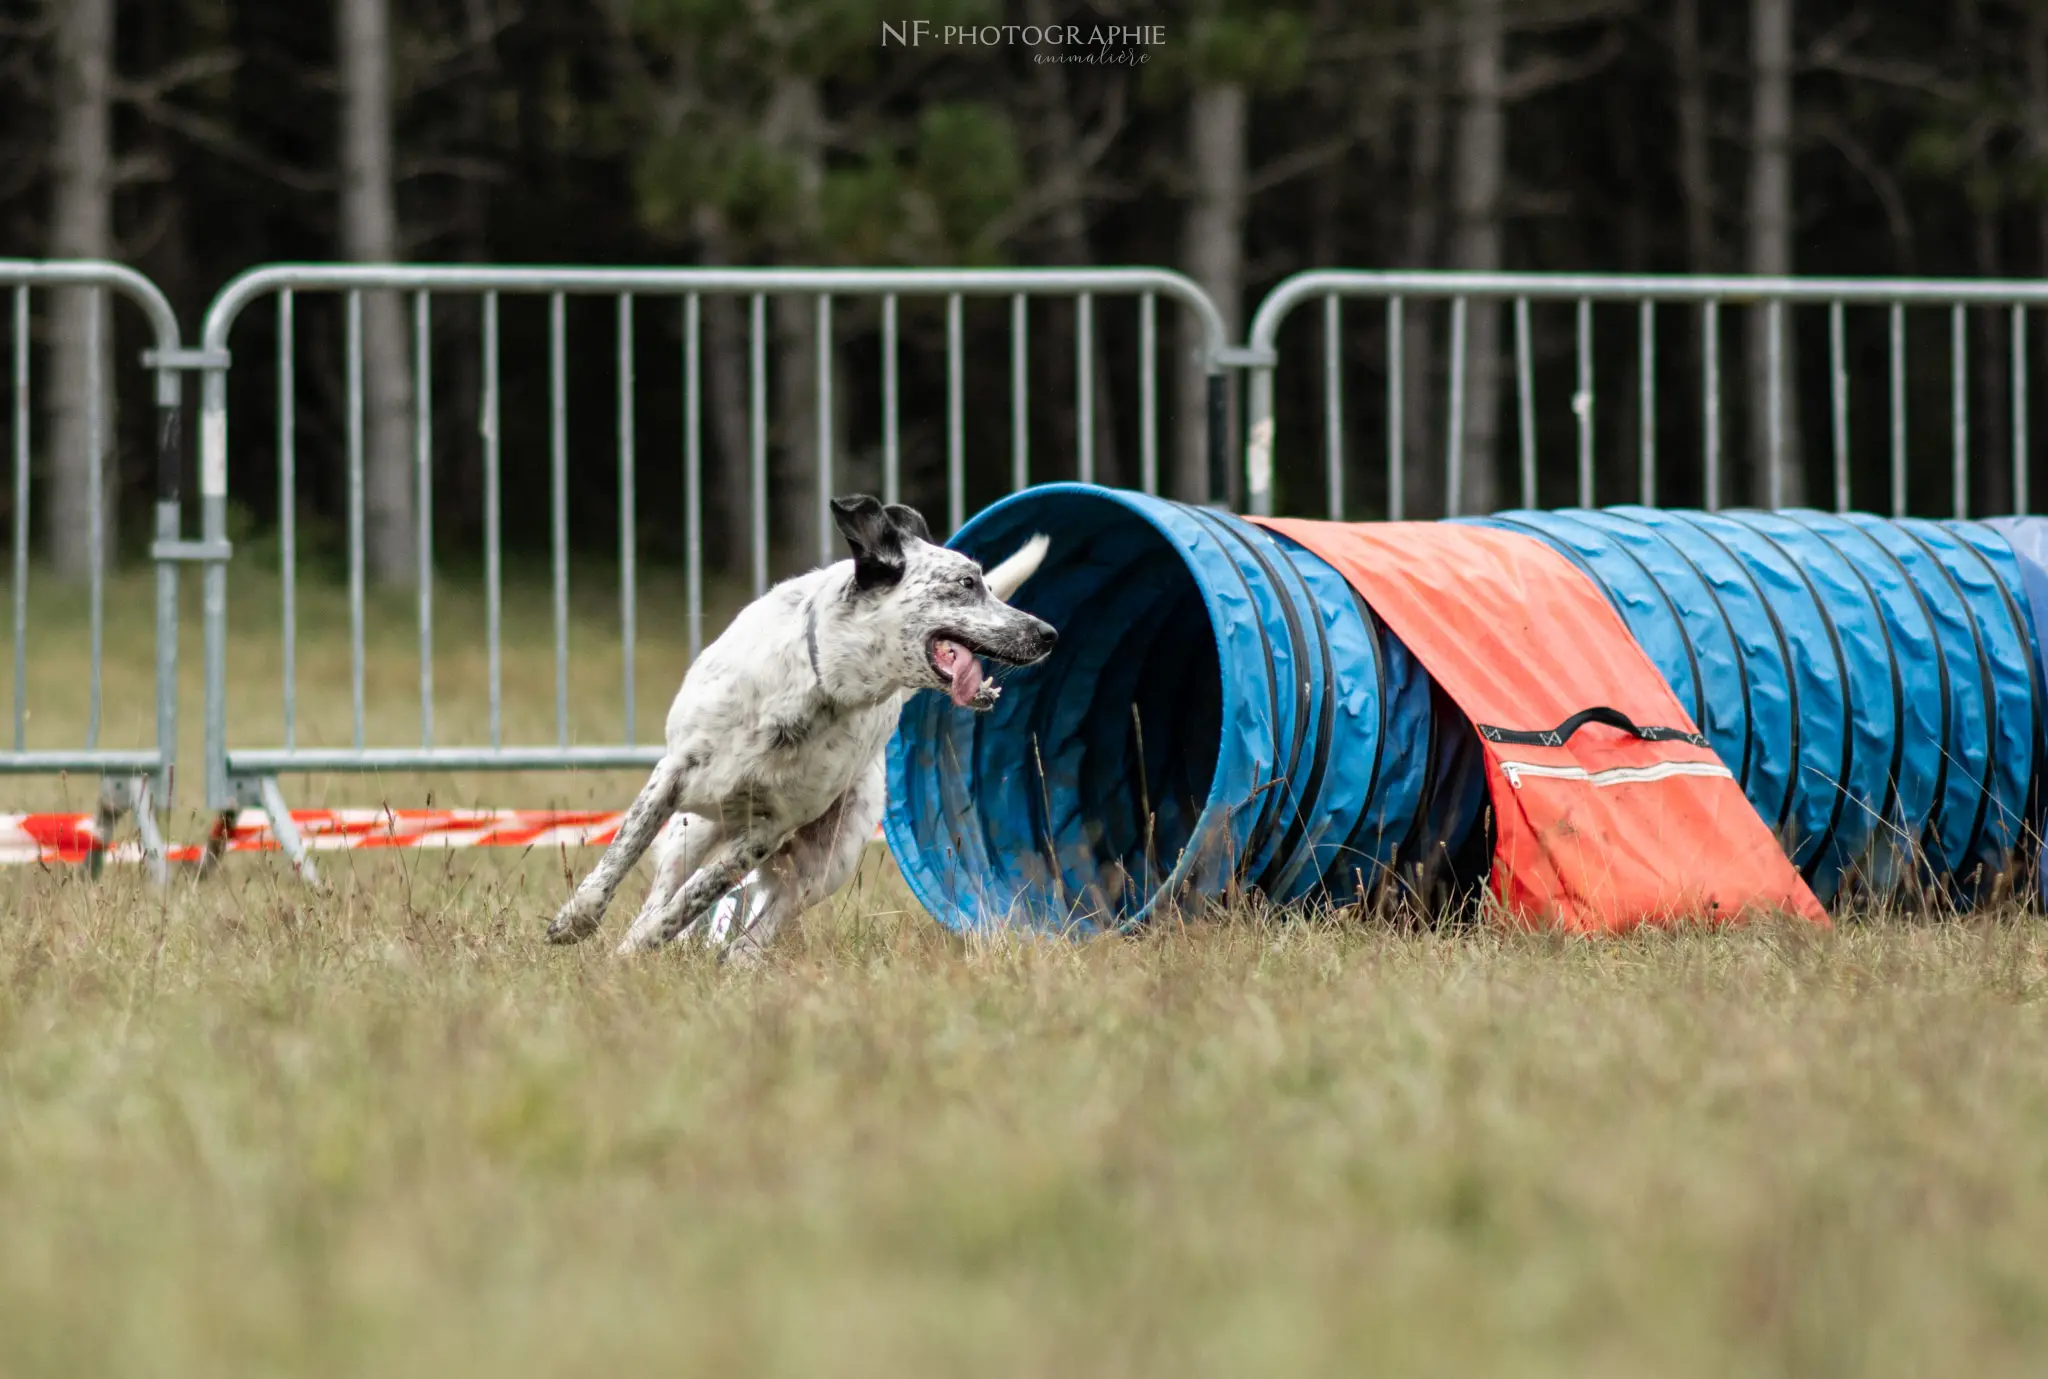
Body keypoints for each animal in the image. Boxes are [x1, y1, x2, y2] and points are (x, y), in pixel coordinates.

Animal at [544, 491, 1056, 958]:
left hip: (830, 858)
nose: (1048, 634)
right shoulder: (671, 776)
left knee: (759, 927)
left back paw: (724, 960)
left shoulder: (771, 829)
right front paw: (574, 922)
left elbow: (698, 895)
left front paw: (643, 944)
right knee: (663, 890)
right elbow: (620, 856)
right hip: (691, 832)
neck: (817, 686)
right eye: (967, 582)